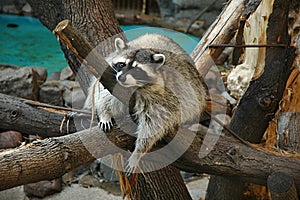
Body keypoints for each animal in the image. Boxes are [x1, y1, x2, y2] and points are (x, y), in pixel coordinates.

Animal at [84, 34, 206, 173]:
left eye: (137, 70)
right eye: (121, 64)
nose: (121, 78)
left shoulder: (164, 97)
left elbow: (154, 124)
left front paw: (138, 151)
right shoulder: (113, 81)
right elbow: (107, 95)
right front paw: (105, 112)